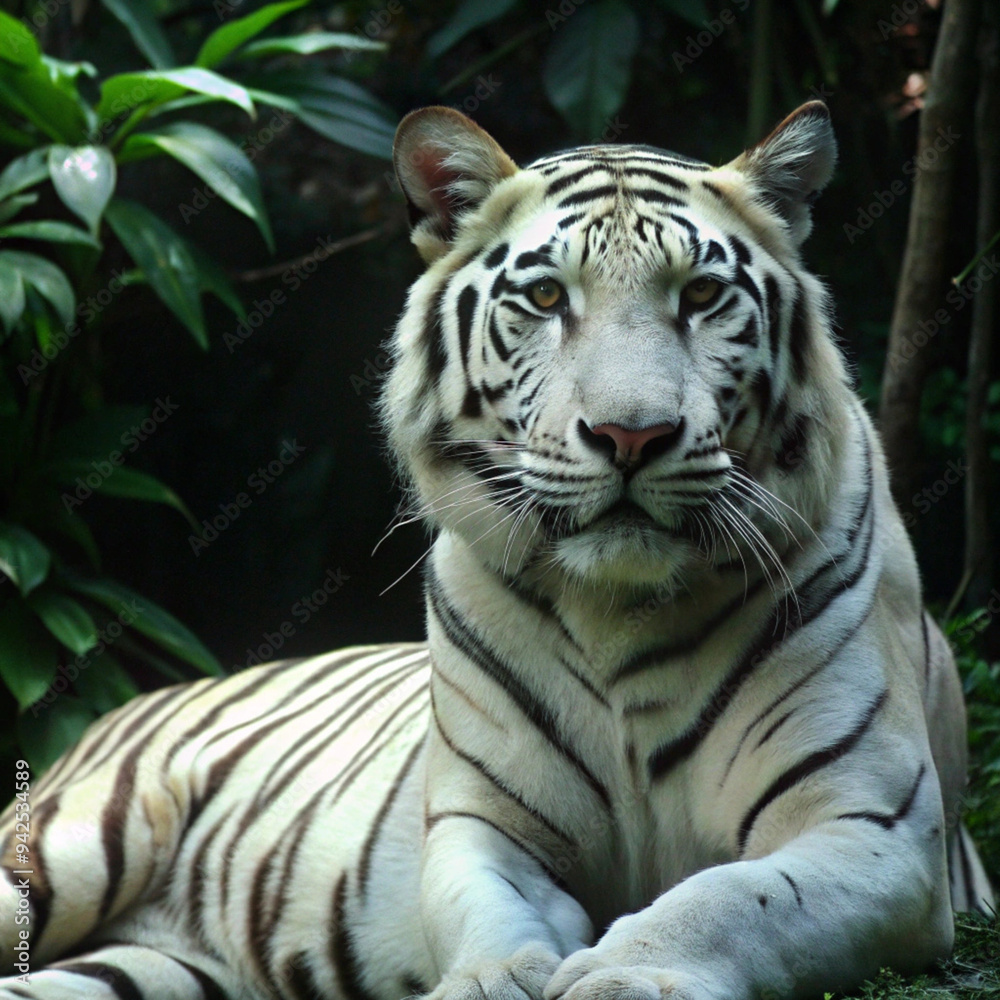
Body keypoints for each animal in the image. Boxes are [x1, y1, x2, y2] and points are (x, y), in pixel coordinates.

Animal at [0, 100, 993, 1000]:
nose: (632, 435)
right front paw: (489, 982)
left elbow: (729, 901)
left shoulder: (871, 827)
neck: (620, 610)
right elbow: (489, 917)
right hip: (72, 844)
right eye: (548, 297)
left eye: (702, 297)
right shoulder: (481, 831)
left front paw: (625, 976)